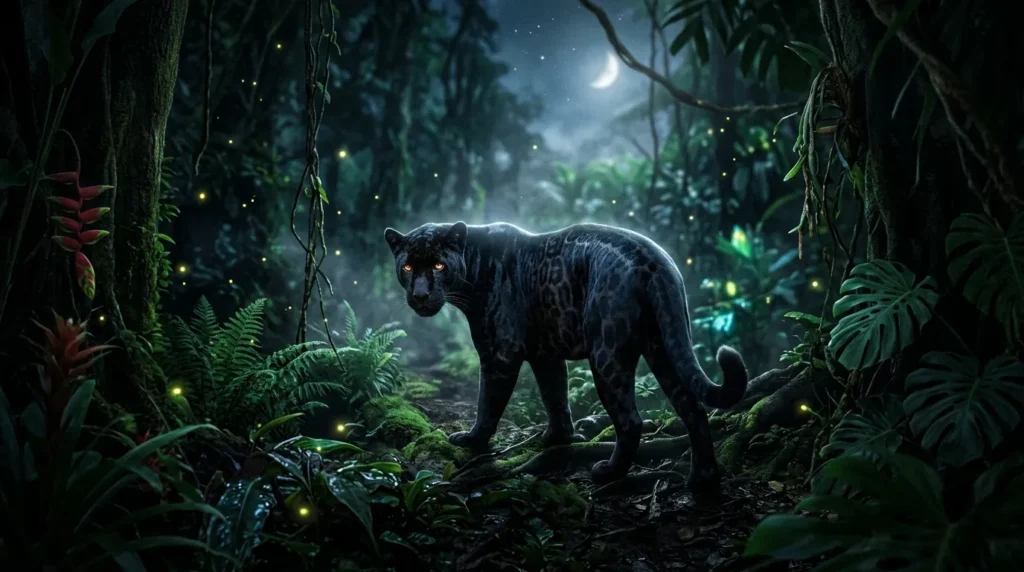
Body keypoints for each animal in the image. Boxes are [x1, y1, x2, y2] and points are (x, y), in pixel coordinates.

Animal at [384, 221, 748, 490]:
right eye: (407, 266)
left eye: (438, 265)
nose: (420, 295)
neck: (473, 264)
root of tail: (654, 259)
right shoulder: (546, 355)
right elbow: (555, 396)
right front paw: (557, 439)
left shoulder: (499, 353)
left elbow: (489, 401)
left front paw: (472, 440)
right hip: (664, 345)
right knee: (692, 407)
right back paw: (703, 479)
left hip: (607, 355)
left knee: (631, 421)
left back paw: (609, 473)